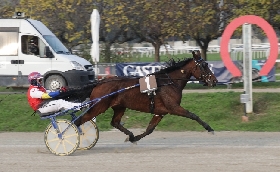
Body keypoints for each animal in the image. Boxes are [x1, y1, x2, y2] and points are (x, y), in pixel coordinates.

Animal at [75, 50, 219, 143]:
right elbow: (193, 115)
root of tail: (100, 82)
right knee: (79, 120)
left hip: (119, 106)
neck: (169, 82)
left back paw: (130, 135)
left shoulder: (160, 112)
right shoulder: (173, 107)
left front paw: (134, 138)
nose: (214, 81)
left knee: (115, 122)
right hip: (99, 106)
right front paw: (210, 129)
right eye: (204, 65)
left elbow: (150, 129)